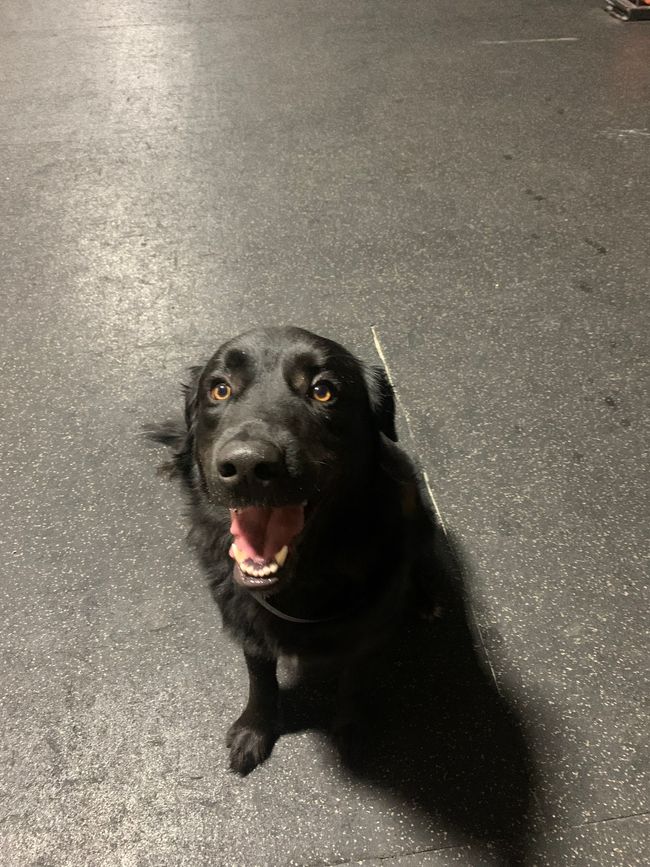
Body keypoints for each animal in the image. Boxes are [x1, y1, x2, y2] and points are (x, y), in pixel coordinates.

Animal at [146, 328, 440, 776]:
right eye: (220, 389)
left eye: (323, 391)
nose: (247, 467)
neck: (304, 581)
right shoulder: (249, 626)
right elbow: (259, 677)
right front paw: (255, 729)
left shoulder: (367, 632)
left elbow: (353, 681)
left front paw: (350, 728)